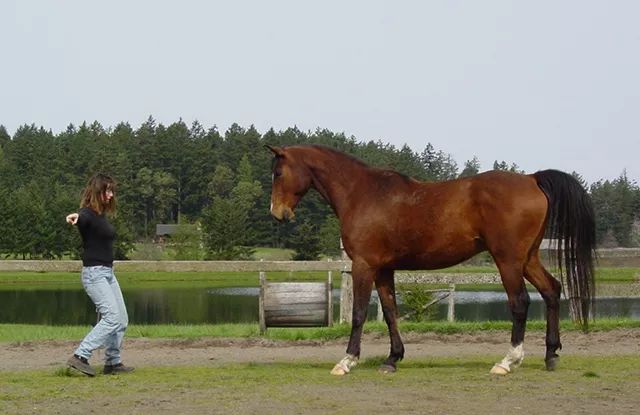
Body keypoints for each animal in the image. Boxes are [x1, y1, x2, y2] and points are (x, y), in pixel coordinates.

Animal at [264, 144, 596, 376]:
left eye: (278, 173)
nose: (277, 213)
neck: (362, 193)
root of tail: (531, 179)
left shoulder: (363, 266)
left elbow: (358, 313)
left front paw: (347, 361)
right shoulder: (384, 269)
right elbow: (390, 312)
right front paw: (392, 358)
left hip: (508, 261)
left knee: (520, 303)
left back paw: (508, 361)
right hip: (528, 258)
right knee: (551, 291)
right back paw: (551, 355)